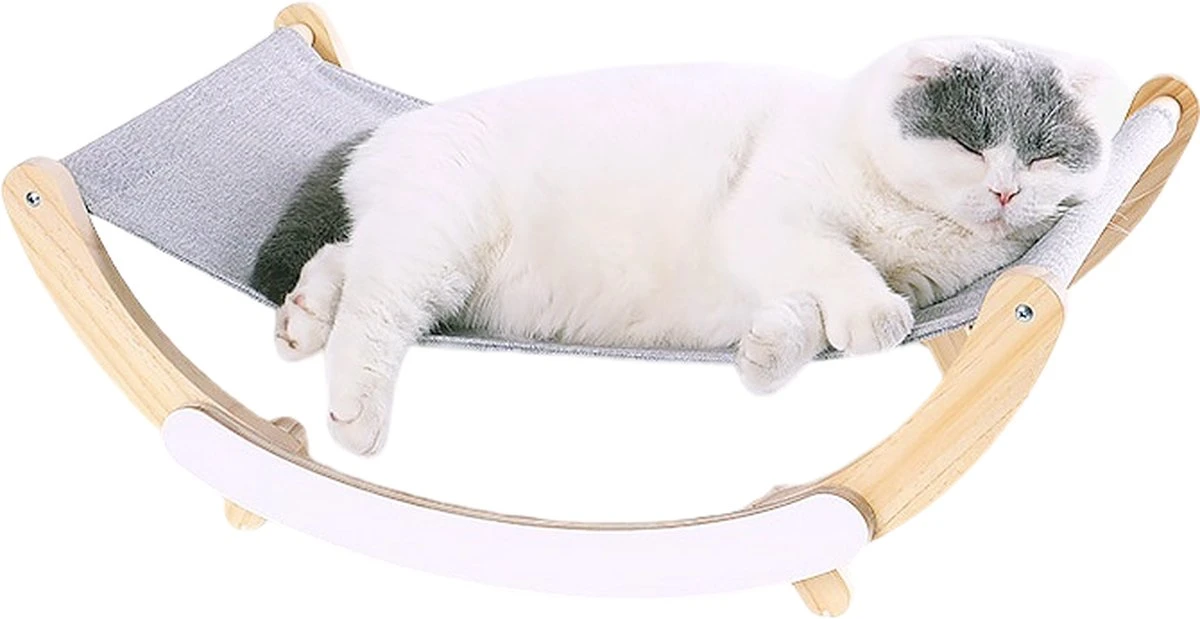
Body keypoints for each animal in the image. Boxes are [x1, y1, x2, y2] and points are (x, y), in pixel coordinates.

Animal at [251, 37, 1126, 455]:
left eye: (1044, 154)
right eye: (973, 143)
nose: (1007, 191)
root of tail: (388, 127)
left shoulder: (903, 279)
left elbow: (809, 317)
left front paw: (766, 355)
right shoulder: (774, 217)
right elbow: (840, 273)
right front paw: (867, 320)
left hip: (438, 264)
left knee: (346, 263)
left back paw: (302, 317)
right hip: (439, 235)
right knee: (375, 308)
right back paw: (353, 408)